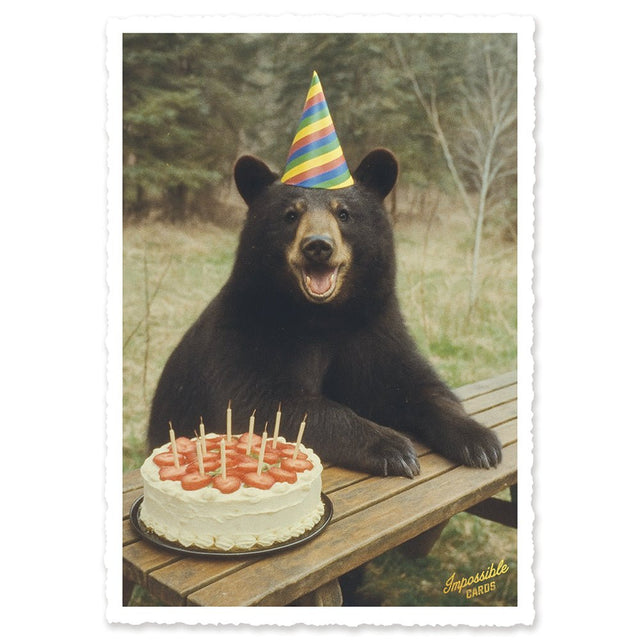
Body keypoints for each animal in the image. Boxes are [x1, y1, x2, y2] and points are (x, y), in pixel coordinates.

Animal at [146, 148, 502, 477]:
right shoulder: (245, 331)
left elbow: (416, 384)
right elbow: (261, 403)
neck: (322, 318)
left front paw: (481, 440)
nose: (318, 245)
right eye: (290, 215)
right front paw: (392, 445)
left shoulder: (373, 328)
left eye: (343, 213)